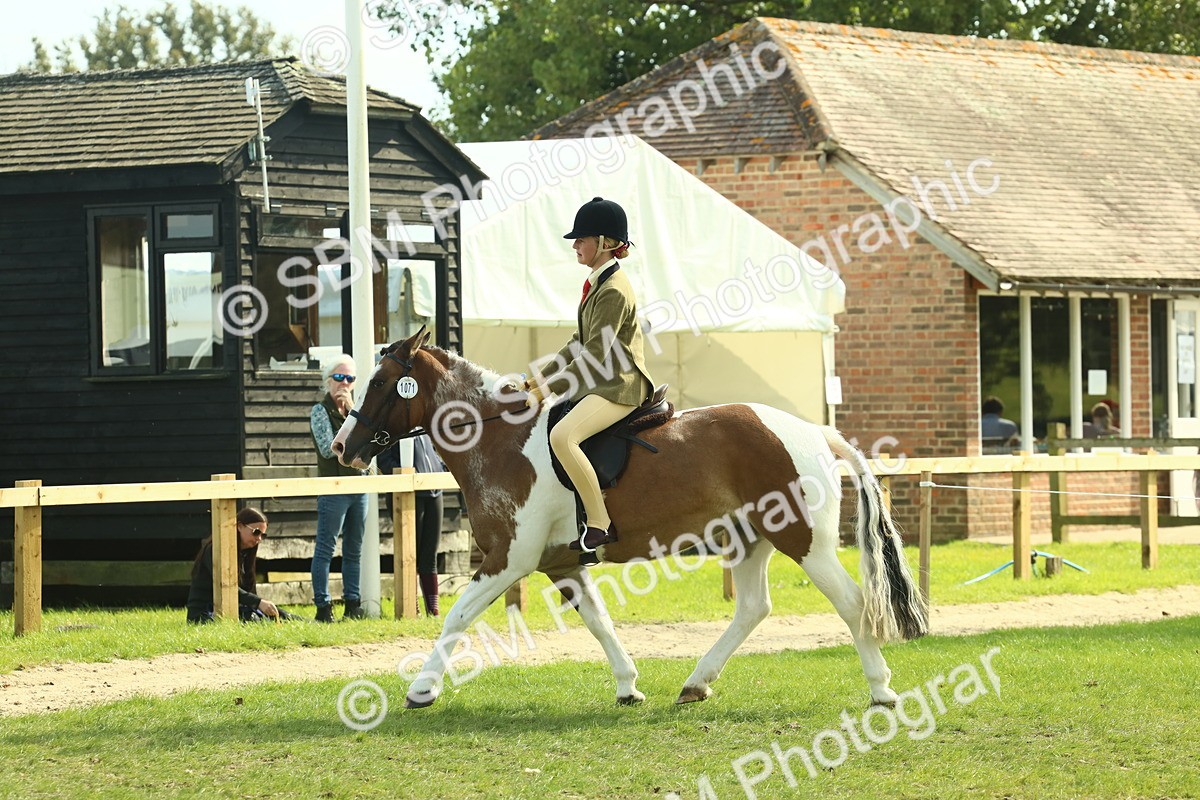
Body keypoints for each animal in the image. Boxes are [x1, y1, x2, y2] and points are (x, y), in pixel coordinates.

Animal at [332, 328, 929, 709]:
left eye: (381, 383)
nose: (342, 447)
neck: (499, 438)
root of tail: (814, 430)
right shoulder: (562, 564)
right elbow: (599, 623)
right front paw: (627, 686)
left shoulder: (508, 559)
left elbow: (457, 616)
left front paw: (421, 690)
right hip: (750, 539)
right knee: (753, 608)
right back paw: (695, 684)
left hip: (804, 540)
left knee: (852, 603)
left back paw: (881, 690)